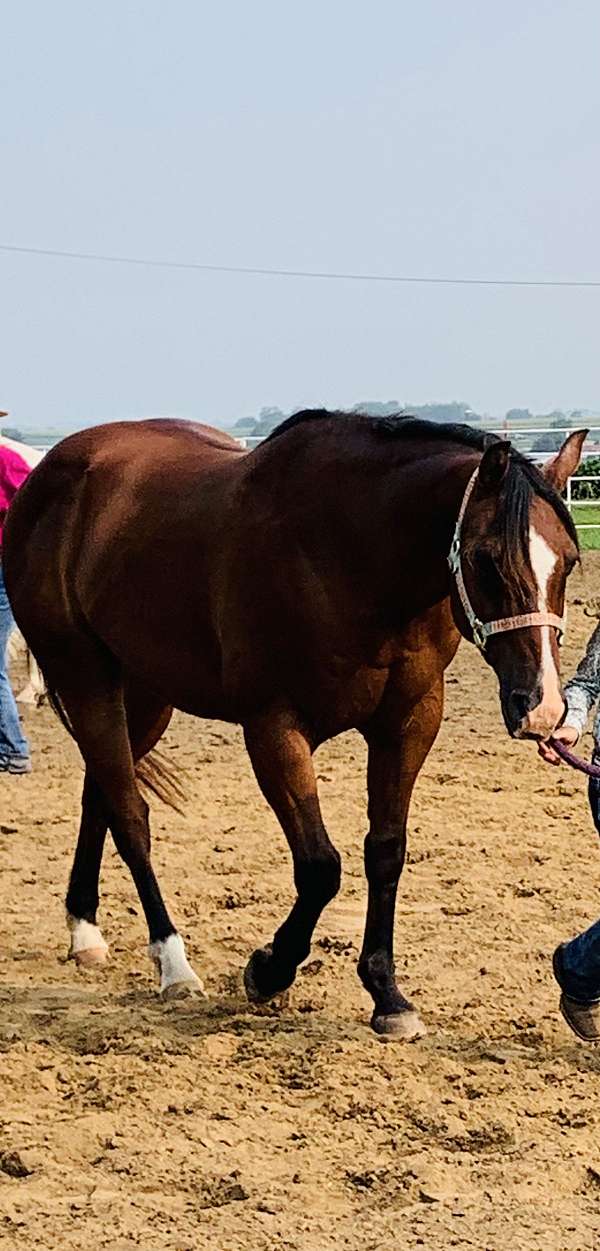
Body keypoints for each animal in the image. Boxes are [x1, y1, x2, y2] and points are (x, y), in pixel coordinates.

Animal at [3, 415, 585, 1040]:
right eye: (483, 559)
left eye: (570, 559)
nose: (541, 706)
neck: (346, 553)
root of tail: (56, 468)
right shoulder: (274, 728)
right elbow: (320, 866)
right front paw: (269, 970)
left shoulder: (409, 721)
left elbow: (386, 850)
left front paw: (387, 994)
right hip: (84, 676)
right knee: (131, 817)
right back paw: (173, 963)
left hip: (144, 693)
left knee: (103, 797)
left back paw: (85, 931)